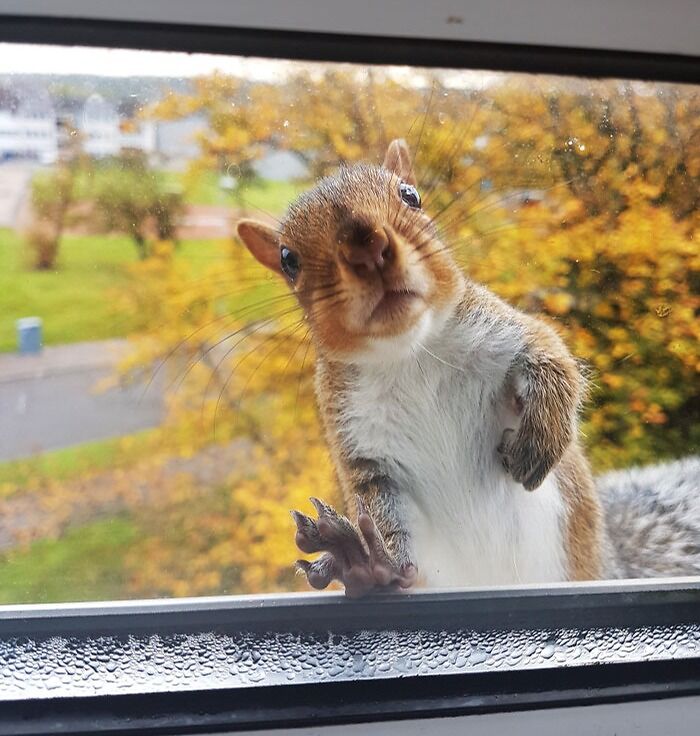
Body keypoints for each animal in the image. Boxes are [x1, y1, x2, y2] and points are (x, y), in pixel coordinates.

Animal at [237, 139, 700, 600]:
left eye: (411, 195)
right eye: (288, 260)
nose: (365, 247)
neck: (409, 357)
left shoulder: (504, 330)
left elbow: (552, 359)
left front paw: (540, 439)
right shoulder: (360, 445)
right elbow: (378, 508)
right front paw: (369, 565)